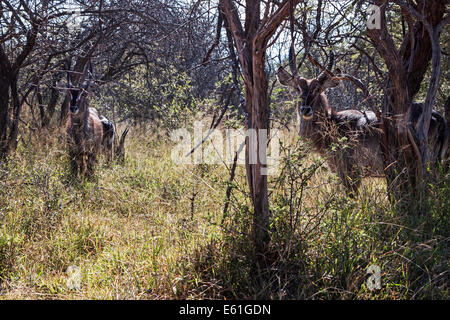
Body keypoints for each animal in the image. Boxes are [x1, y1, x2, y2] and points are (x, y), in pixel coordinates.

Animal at [276, 52, 448, 195]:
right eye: (297, 89)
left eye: (317, 89)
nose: (305, 109)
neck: (334, 123)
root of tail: (438, 116)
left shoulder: (350, 172)